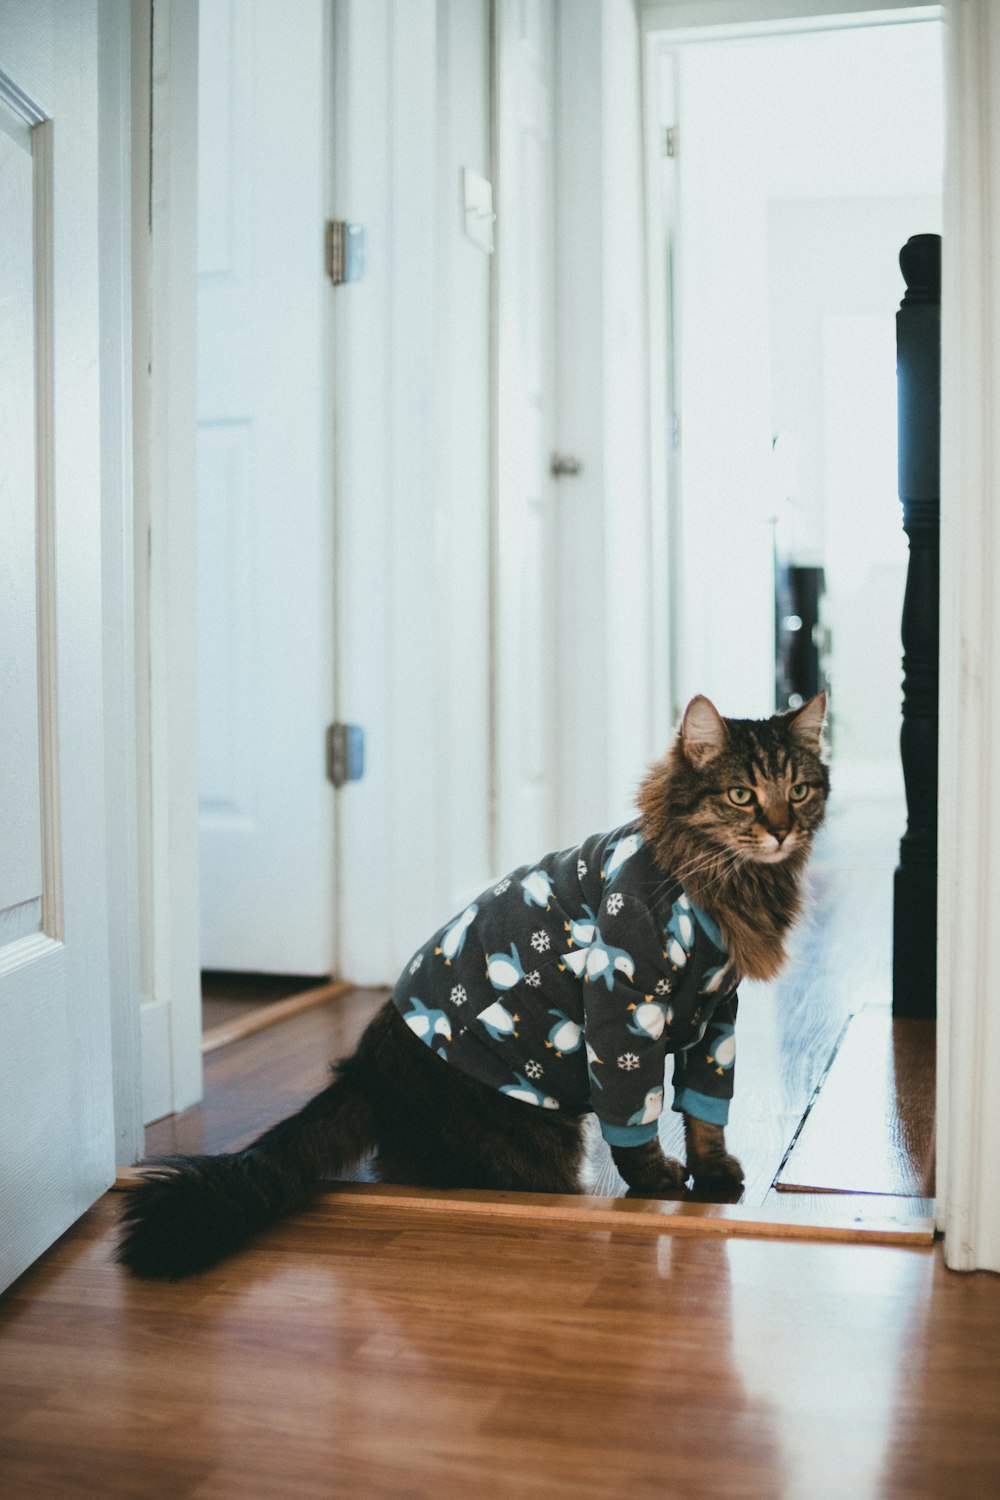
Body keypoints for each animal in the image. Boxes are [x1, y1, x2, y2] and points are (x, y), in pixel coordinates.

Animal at [117, 690, 827, 1278]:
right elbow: (638, 1115)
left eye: (798, 791)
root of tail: (367, 1067)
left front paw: (716, 1175)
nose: (781, 829)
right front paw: (657, 1183)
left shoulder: (717, 1017)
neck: (729, 882)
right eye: (741, 796)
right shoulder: (623, 1006)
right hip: (535, 1140)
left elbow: (706, 1113)